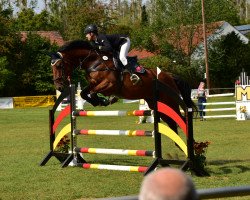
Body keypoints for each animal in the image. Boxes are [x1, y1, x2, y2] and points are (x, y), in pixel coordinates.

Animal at [49, 39, 196, 136]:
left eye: (59, 66)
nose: (59, 87)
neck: (94, 61)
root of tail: (169, 76)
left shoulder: (109, 85)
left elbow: (94, 92)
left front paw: (104, 100)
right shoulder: (93, 84)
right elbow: (84, 93)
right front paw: (99, 101)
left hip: (169, 102)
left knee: (181, 119)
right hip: (156, 103)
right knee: (172, 122)